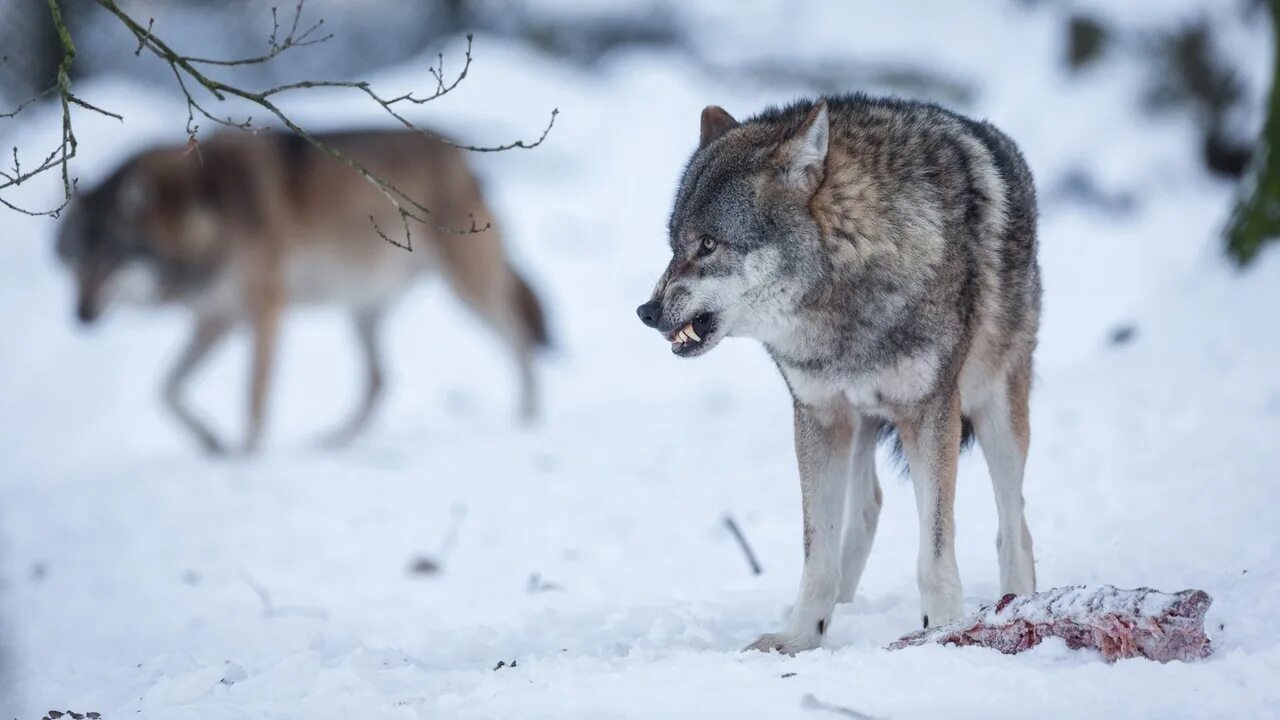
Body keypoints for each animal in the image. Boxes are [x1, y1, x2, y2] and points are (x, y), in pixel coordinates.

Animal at [56, 127, 545, 453]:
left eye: (110, 259)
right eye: (75, 261)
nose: (81, 316)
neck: (204, 210)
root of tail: (465, 159)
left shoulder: (266, 309)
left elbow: (252, 397)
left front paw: (246, 456)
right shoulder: (216, 319)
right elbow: (166, 390)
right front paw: (212, 444)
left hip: (468, 291)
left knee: (521, 338)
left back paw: (529, 417)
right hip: (362, 311)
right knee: (379, 379)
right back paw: (334, 441)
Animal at [640, 96, 1039, 655]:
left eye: (709, 244)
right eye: (675, 245)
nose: (647, 311)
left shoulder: (931, 414)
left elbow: (935, 552)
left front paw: (941, 629)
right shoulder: (819, 416)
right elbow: (817, 553)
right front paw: (801, 636)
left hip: (995, 413)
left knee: (1014, 523)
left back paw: (1017, 602)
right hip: (859, 424)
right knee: (868, 508)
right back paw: (846, 610)